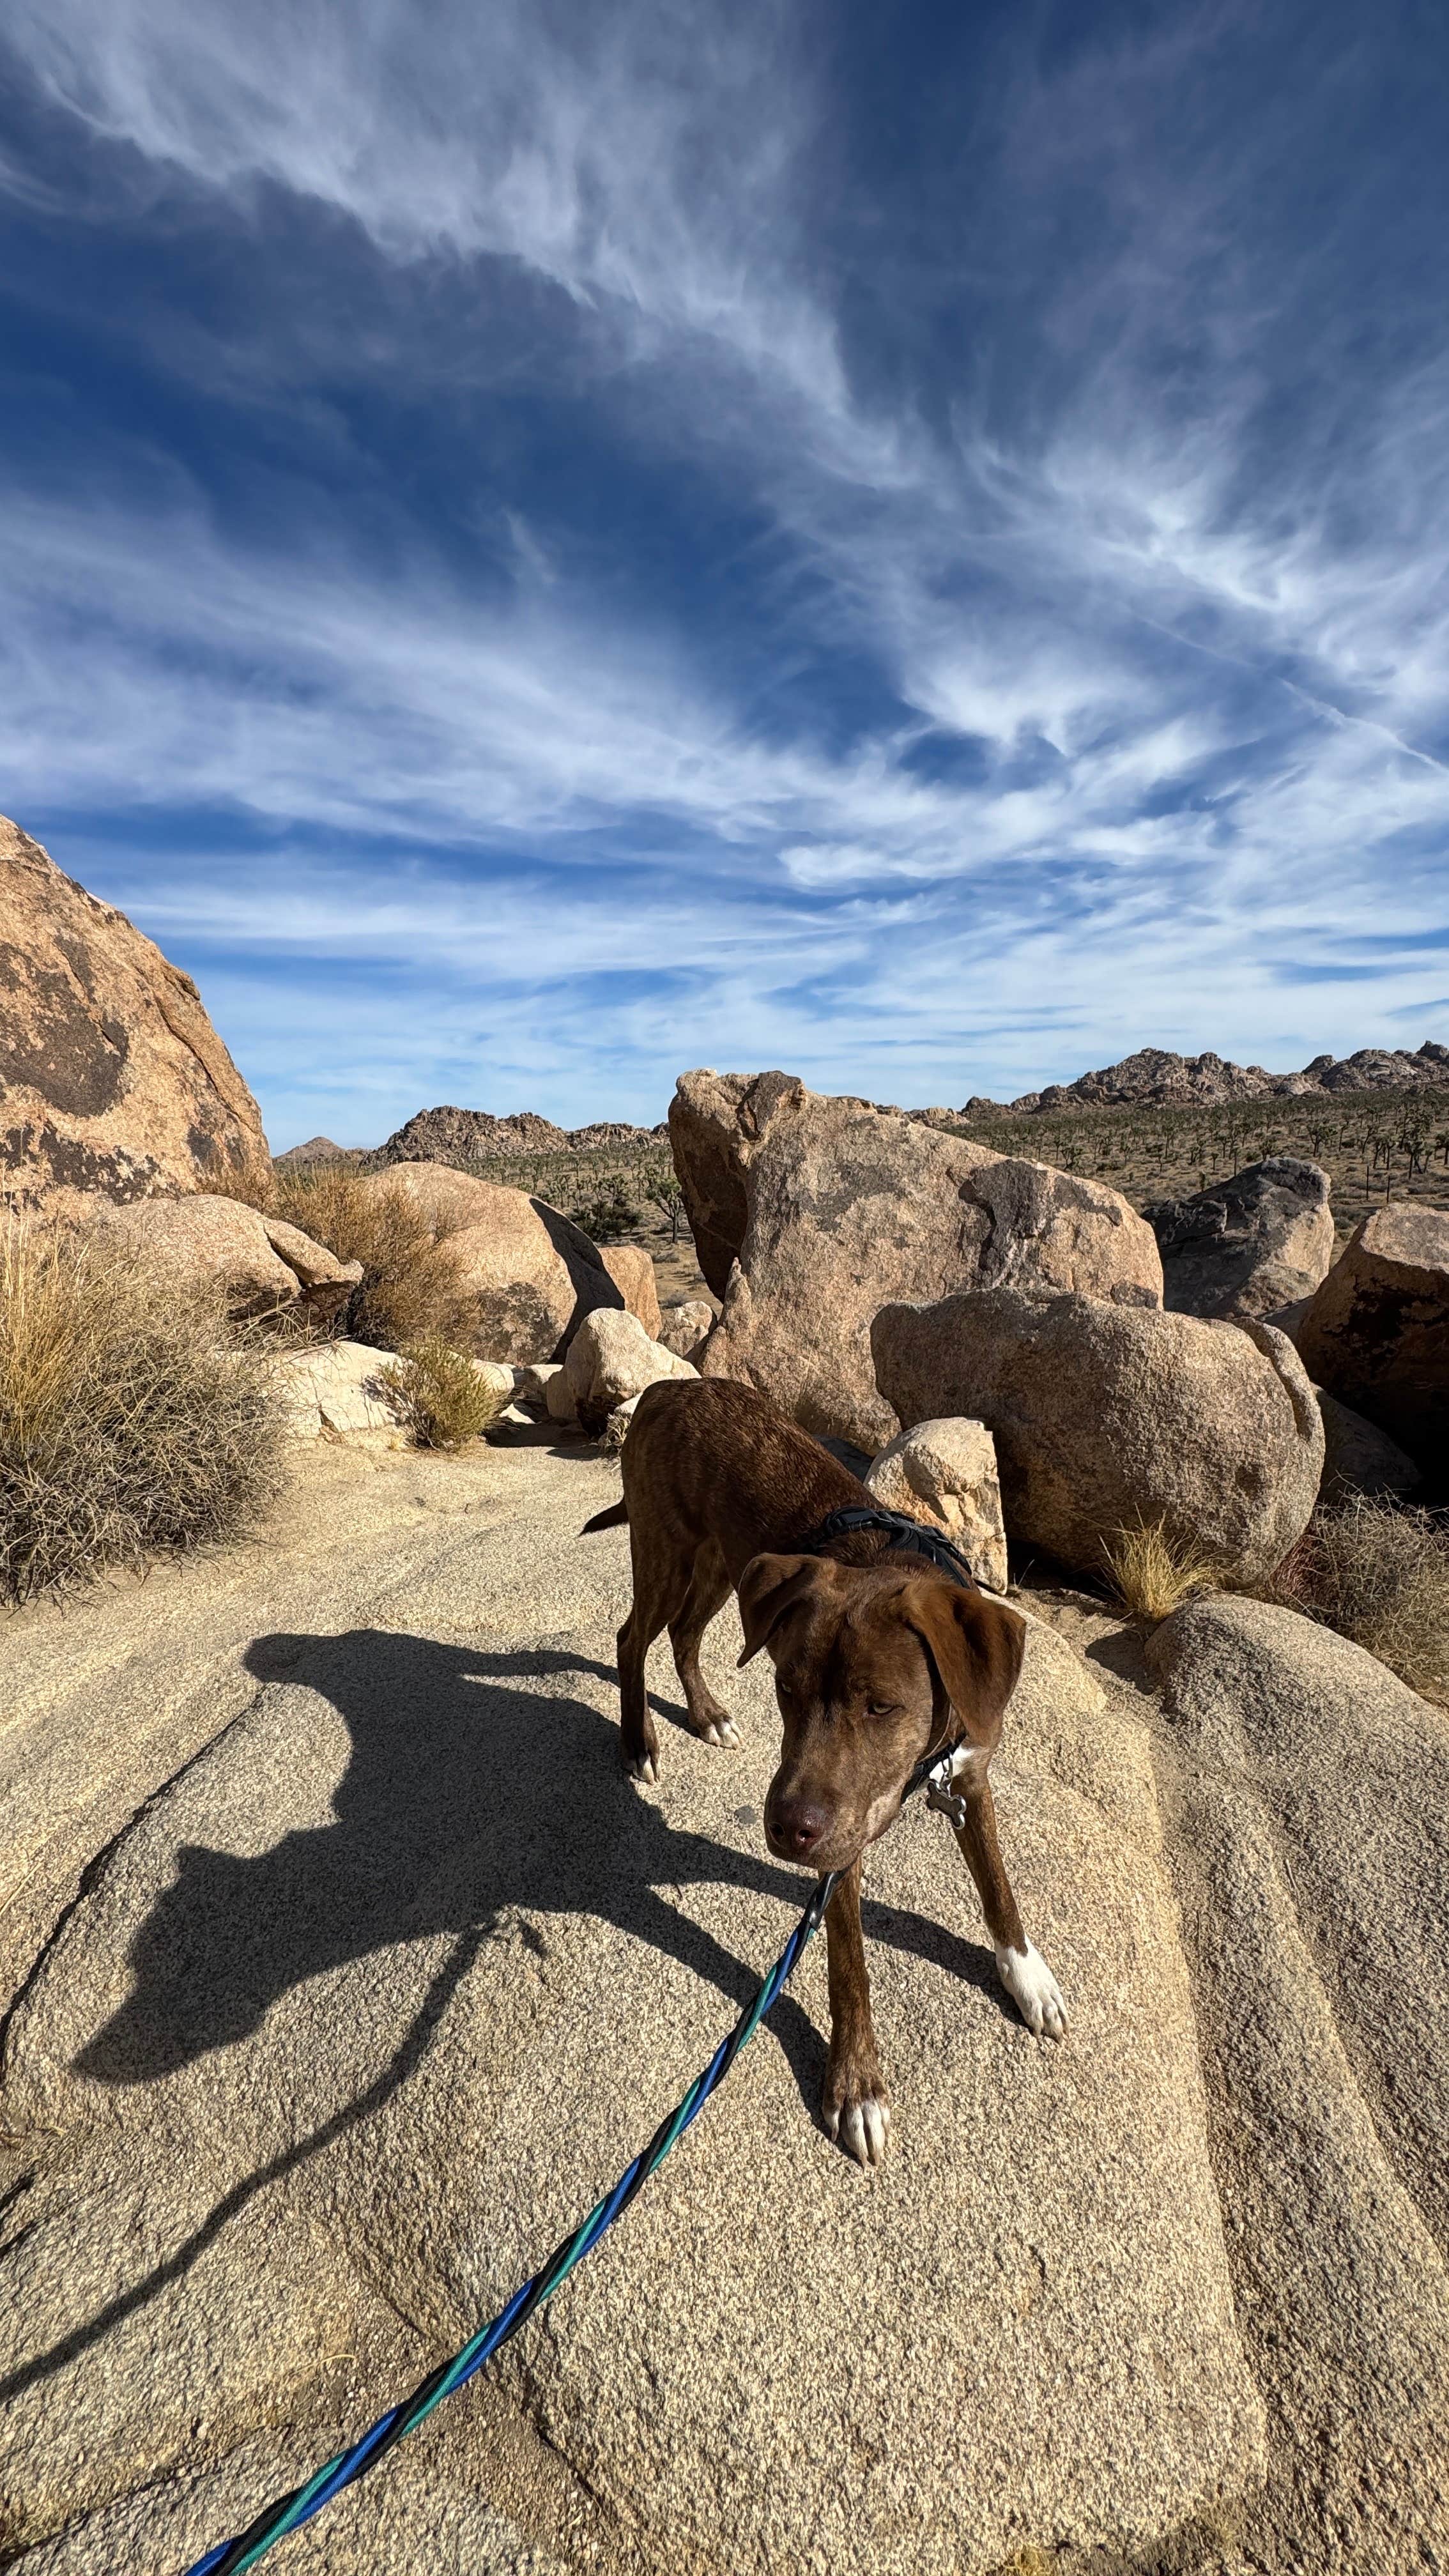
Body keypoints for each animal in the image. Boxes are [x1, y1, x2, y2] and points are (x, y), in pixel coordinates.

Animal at [580, 1381, 1067, 2163]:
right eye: (787, 1688)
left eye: (882, 1705)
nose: (787, 1831)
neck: (922, 1762)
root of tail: (666, 1387)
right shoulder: (842, 1845)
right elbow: (849, 1964)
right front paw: (857, 2085)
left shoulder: (969, 1777)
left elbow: (998, 1887)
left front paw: (1028, 1977)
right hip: (669, 1552)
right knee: (634, 1636)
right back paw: (639, 1741)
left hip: (726, 1570)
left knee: (682, 1634)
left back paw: (706, 1713)